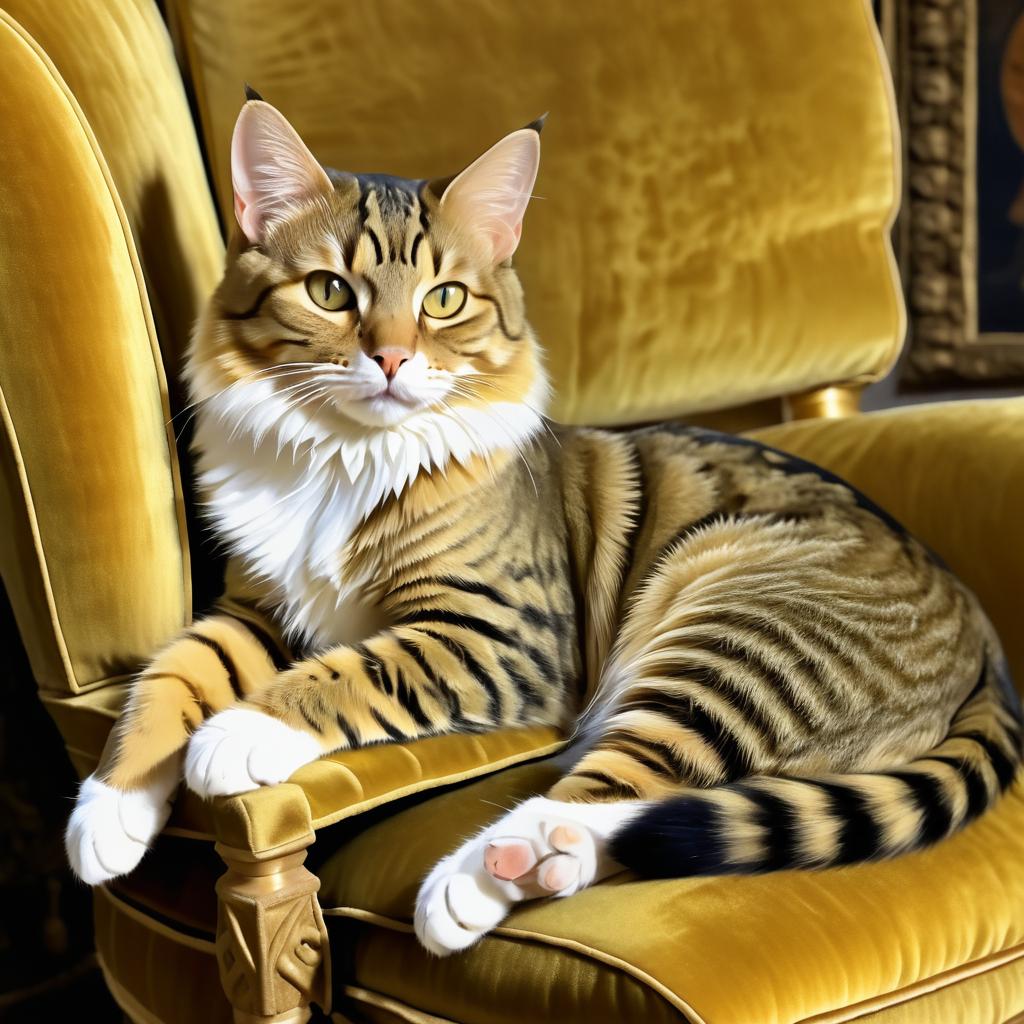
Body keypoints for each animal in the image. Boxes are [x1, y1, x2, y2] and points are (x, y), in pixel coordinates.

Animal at [68, 92, 1019, 954]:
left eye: (444, 300)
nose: (391, 357)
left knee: (619, 795)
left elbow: (350, 673)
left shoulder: (496, 632)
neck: (345, 457)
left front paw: (235, 734)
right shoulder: (256, 608)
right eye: (330, 291)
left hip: (732, 634)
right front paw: (108, 811)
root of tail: (980, 628)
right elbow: (170, 675)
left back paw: (479, 880)